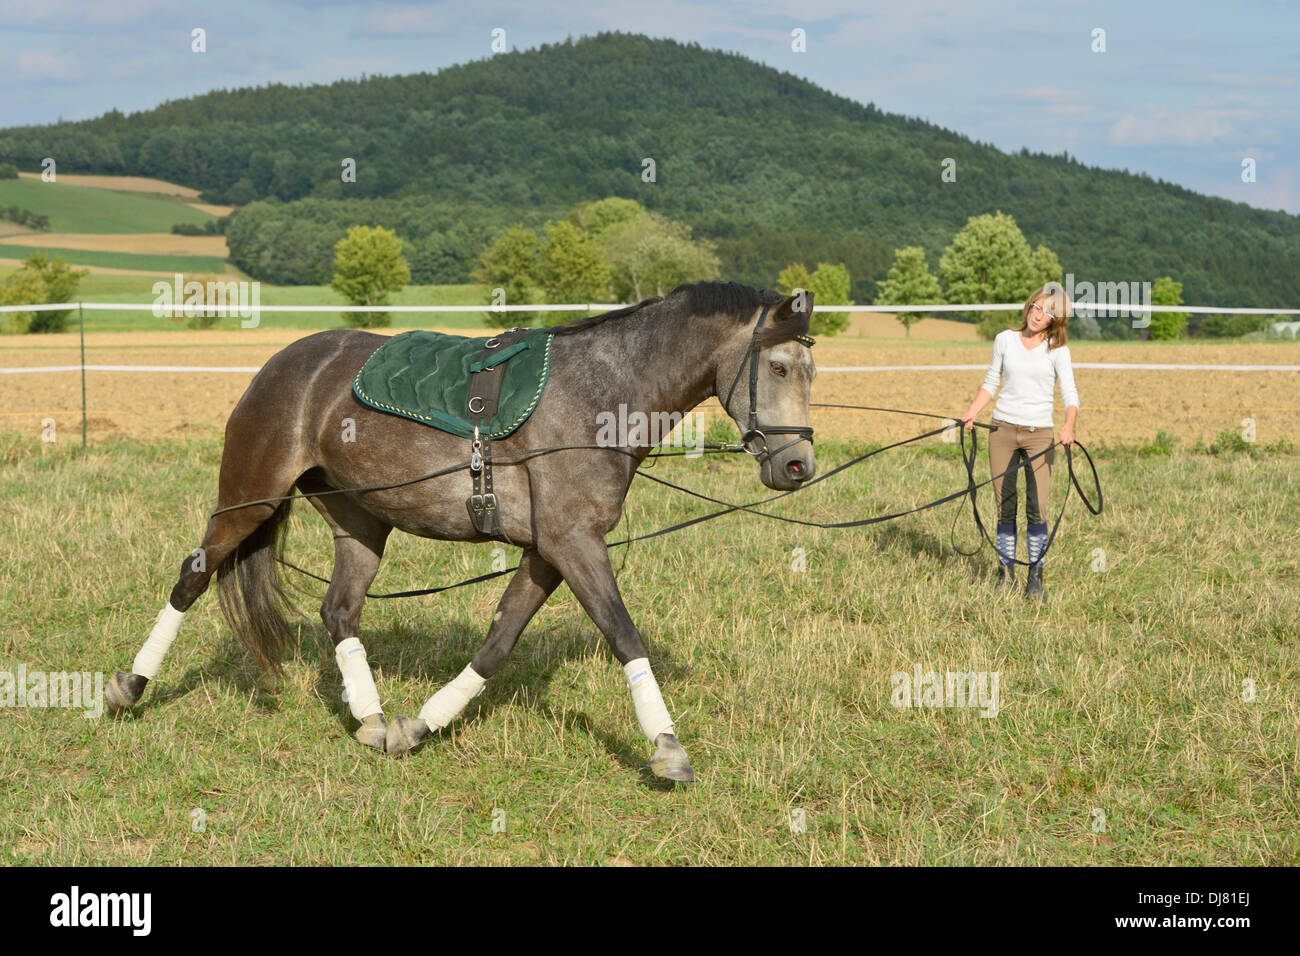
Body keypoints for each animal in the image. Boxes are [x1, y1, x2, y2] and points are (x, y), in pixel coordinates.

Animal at [104, 280, 811, 780]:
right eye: (778, 368)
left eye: (809, 371)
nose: (797, 465)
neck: (600, 392)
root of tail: (284, 364)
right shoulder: (573, 543)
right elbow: (623, 634)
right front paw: (666, 746)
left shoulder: (548, 551)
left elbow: (498, 642)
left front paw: (420, 727)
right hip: (247, 500)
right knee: (191, 579)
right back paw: (128, 689)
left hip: (361, 523)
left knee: (339, 611)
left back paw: (371, 719)